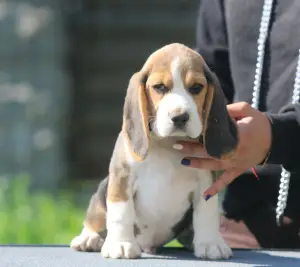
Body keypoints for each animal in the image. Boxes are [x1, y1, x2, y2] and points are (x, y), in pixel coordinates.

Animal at [71, 43, 239, 260]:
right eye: (159, 87)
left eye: (196, 88)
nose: (180, 117)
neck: (168, 143)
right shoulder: (122, 176)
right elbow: (120, 212)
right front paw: (121, 244)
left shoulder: (206, 181)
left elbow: (207, 212)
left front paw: (210, 244)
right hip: (102, 191)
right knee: (96, 217)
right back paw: (89, 238)